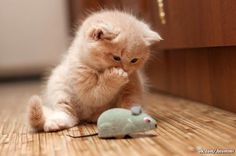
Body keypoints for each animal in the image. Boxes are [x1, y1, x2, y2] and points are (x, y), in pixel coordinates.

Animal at [27, 10, 160, 132]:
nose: (126, 69)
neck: (99, 70)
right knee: (68, 114)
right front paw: (115, 77)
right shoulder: (84, 86)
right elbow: (98, 92)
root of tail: (89, 117)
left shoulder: (132, 87)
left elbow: (131, 103)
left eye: (134, 60)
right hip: (60, 89)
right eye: (116, 57)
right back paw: (56, 123)